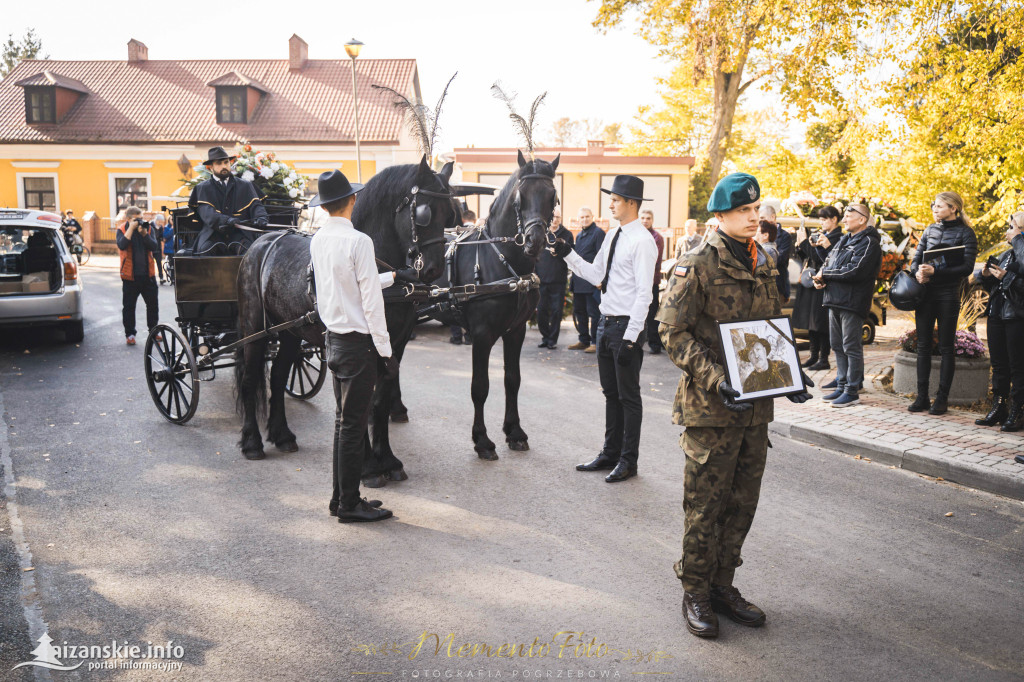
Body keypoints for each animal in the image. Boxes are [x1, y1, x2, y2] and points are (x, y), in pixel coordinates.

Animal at [236, 153, 456, 462]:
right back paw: (252, 441)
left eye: (450, 214)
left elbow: (379, 400)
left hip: (291, 332)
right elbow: (356, 402)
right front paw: (367, 463)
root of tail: (263, 240)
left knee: (278, 377)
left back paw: (282, 435)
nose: (434, 269)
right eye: (423, 213)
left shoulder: (394, 344)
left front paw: (385, 459)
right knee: (249, 378)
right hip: (254, 328)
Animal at [448, 148, 561, 456]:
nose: (534, 241)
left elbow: (513, 380)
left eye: (553, 196)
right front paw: (482, 439)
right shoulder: (481, 335)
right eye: (520, 197)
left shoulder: (516, 331)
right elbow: (480, 386)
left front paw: (515, 431)